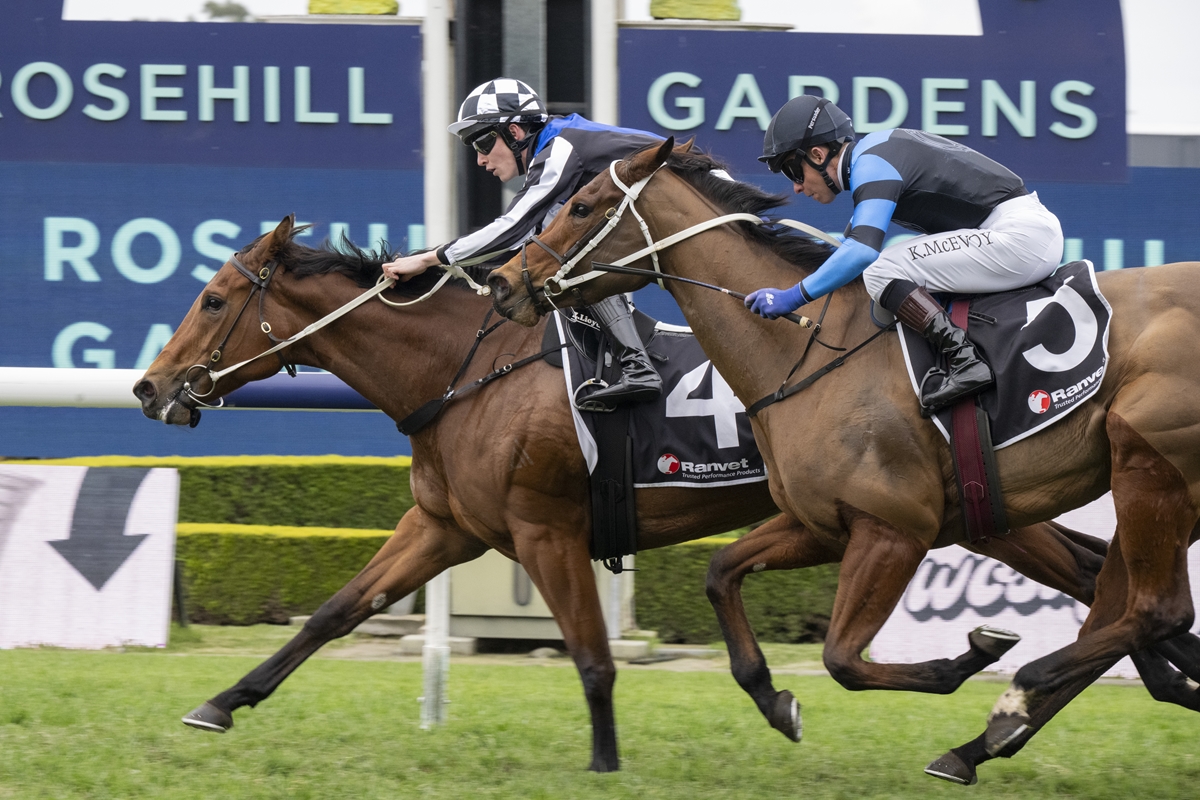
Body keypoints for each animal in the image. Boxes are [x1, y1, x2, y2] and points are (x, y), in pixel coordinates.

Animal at [485, 139, 1200, 783]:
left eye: (580, 206)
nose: (502, 282)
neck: (804, 350)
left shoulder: (893, 530)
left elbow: (842, 659)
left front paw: (971, 656)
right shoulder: (825, 524)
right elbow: (721, 572)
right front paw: (776, 701)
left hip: (1149, 472)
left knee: (1152, 610)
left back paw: (1015, 702)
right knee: (1120, 599)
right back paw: (1001, 735)